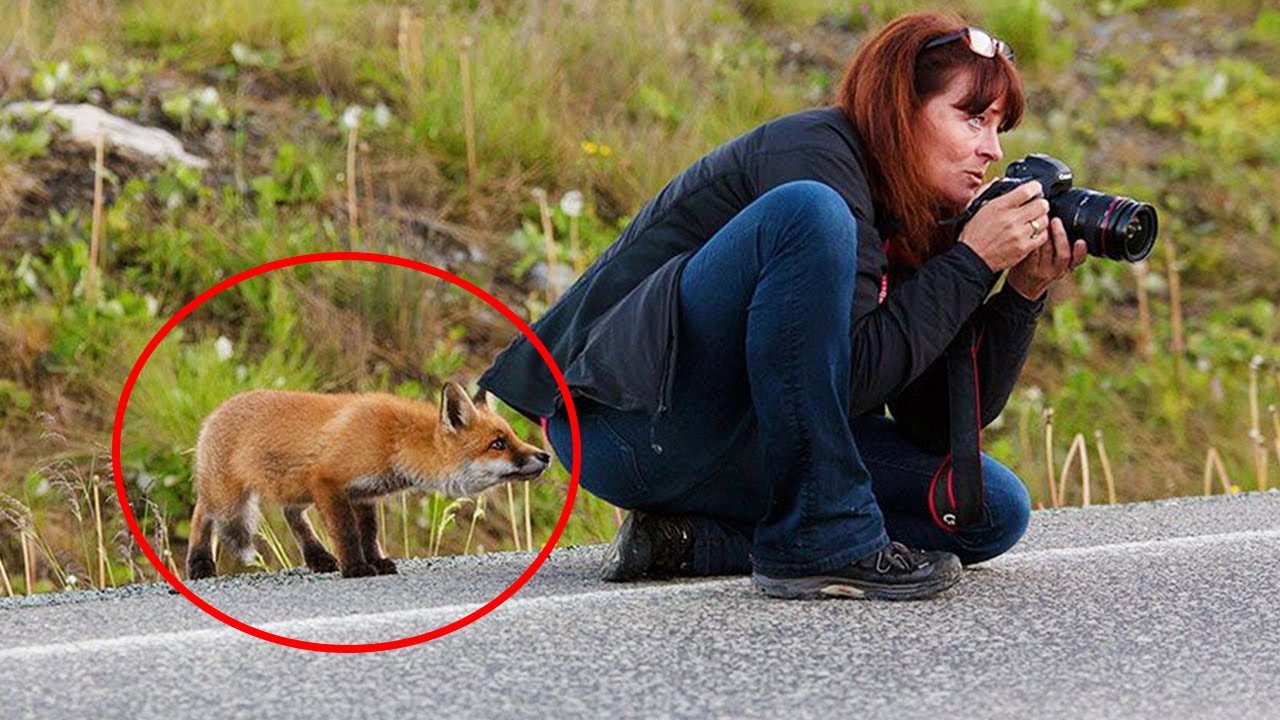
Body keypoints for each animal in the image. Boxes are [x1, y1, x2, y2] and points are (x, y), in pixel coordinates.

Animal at [185, 381, 550, 579]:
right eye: (498, 444)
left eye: (513, 437)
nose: (545, 456)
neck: (392, 440)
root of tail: (216, 410)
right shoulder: (328, 481)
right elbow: (347, 532)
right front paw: (356, 568)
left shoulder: (362, 494)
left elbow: (370, 534)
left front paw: (375, 561)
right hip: (229, 499)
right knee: (202, 513)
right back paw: (200, 564)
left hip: (295, 490)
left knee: (293, 516)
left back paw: (318, 558)